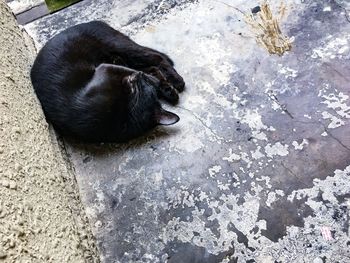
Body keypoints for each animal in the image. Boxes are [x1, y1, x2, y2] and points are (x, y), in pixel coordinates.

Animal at [30, 21, 185, 142]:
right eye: (141, 84)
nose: (139, 76)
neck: (125, 111)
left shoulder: (104, 68)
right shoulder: (108, 69)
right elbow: (140, 73)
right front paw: (159, 84)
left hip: (122, 49)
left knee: (156, 58)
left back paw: (176, 82)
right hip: (122, 51)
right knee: (152, 64)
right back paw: (170, 87)